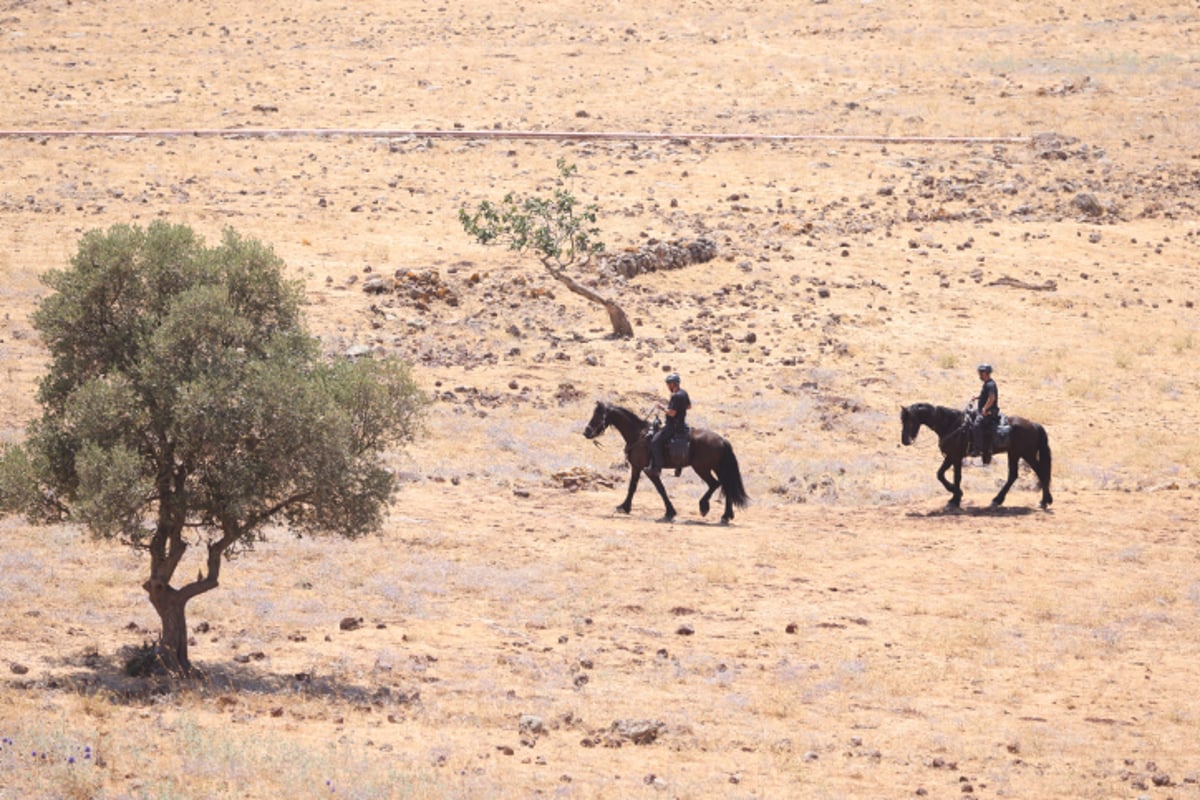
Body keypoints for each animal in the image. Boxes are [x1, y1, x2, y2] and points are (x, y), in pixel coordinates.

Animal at [583, 400, 748, 525]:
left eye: (598, 415)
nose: (586, 432)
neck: (639, 435)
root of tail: (722, 440)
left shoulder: (648, 470)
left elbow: (660, 489)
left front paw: (670, 512)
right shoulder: (637, 467)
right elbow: (632, 487)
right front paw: (624, 507)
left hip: (702, 468)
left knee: (715, 484)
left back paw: (704, 507)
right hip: (717, 468)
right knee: (726, 487)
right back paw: (726, 516)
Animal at [902, 402, 1051, 510]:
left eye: (909, 421)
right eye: (902, 421)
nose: (905, 441)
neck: (952, 425)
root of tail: (1034, 425)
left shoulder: (955, 456)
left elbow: (955, 477)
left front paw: (955, 499)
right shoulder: (951, 456)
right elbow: (940, 474)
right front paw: (956, 495)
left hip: (1026, 454)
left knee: (1040, 473)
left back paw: (1043, 502)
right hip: (1014, 454)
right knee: (1013, 476)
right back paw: (998, 500)